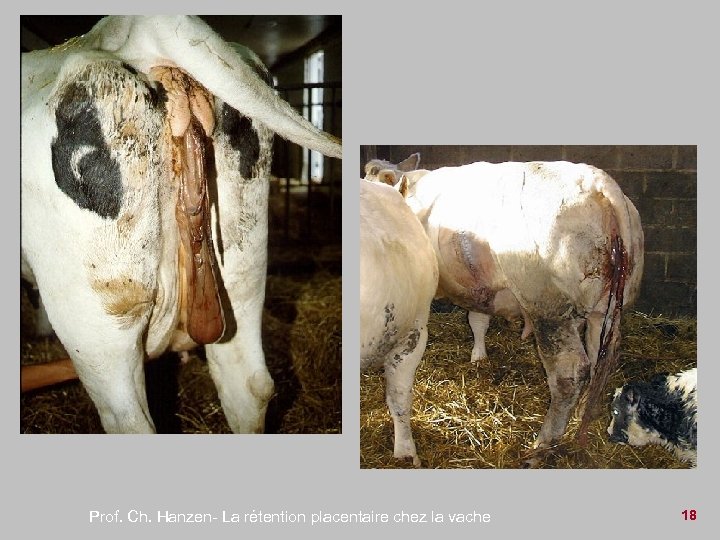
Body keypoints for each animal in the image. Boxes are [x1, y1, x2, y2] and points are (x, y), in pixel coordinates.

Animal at [393, 160, 643, 464]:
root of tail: (602, 185)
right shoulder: (481, 288)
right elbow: (478, 319)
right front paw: (478, 357)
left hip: (548, 307)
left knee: (569, 372)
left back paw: (542, 445)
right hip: (606, 308)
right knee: (601, 356)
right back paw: (585, 411)